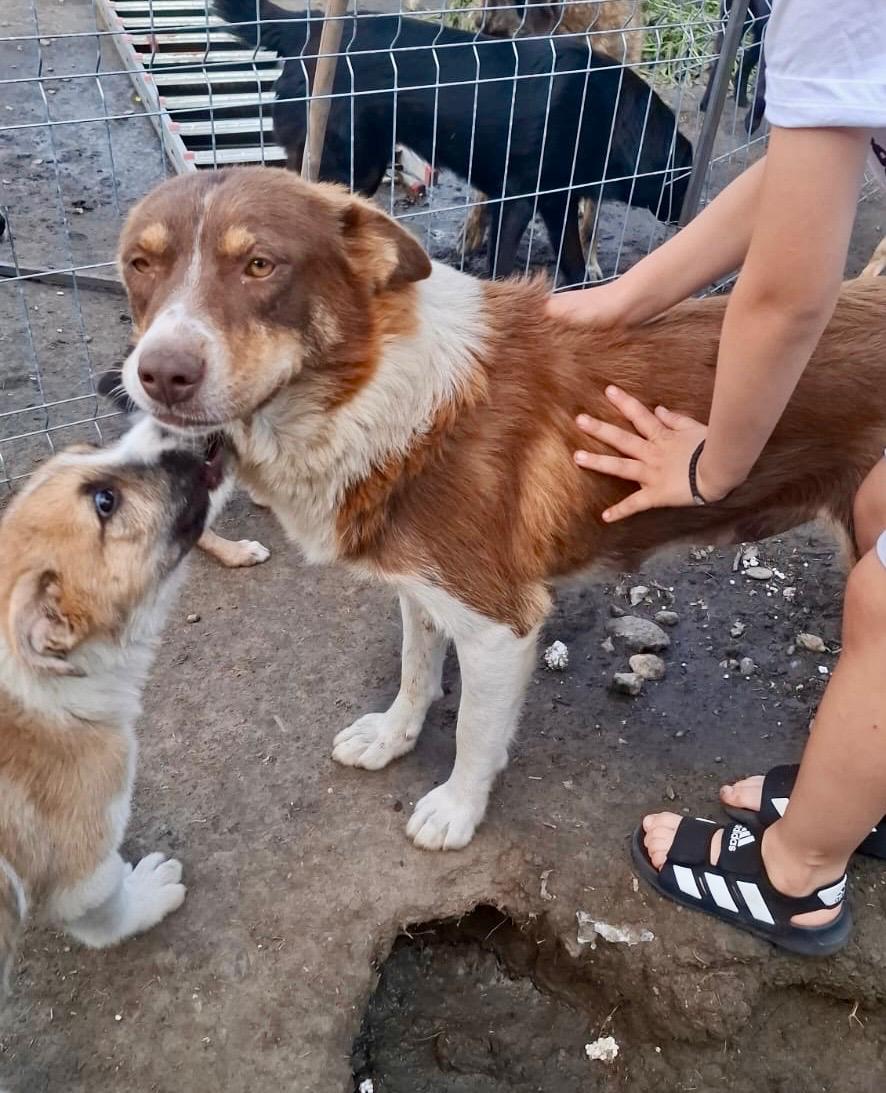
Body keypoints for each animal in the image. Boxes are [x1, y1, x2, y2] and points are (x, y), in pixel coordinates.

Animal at [0, 420, 218, 990]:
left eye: (90, 450)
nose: (168, 426)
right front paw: (150, 892)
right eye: (105, 502)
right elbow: (111, 913)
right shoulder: (84, 873)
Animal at [117, 167, 886, 850]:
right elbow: (416, 671)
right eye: (138, 264)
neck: (373, 393)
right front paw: (392, 735)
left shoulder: (499, 624)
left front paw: (456, 808)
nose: (160, 374)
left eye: (260, 265)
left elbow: (473, 731)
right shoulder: (422, 584)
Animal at [214, 0, 691, 285]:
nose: (683, 220)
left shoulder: (557, 200)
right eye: (683, 182)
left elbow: (572, 255)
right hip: (350, 163)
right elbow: (503, 260)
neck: (613, 116)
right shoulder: (517, 197)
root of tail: (307, 26)